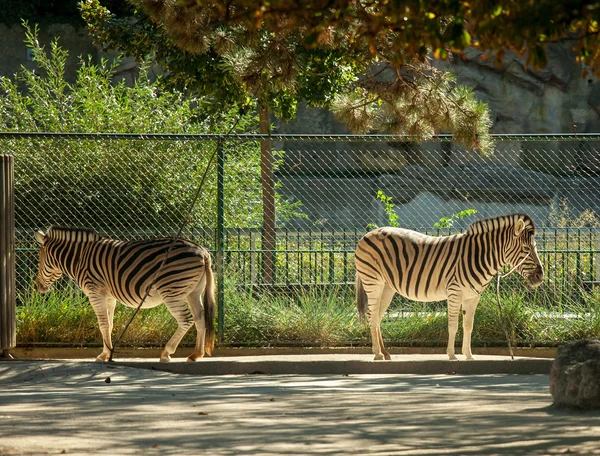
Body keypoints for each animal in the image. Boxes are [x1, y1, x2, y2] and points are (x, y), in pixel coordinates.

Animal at [33, 226, 216, 362]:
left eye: (38, 256)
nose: (37, 287)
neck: (80, 258)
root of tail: (203, 251)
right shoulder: (108, 296)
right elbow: (109, 324)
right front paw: (108, 352)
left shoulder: (95, 292)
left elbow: (103, 324)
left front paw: (104, 355)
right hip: (193, 292)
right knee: (200, 318)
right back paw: (196, 354)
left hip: (172, 291)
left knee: (186, 319)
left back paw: (166, 352)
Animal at [354, 213, 548, 360]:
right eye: (526, 249)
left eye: (535, 247)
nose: (541, 276)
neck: (477, 256)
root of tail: (368, 234)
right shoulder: (455, 292)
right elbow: (453, 325)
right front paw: (452, 355)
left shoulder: (473, 296)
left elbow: (469, 325)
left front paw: (469, 355)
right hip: (373, 282)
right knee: (372, 316)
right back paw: (378, 354)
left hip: (387, 287)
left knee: (377, 317)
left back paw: (385, 353)